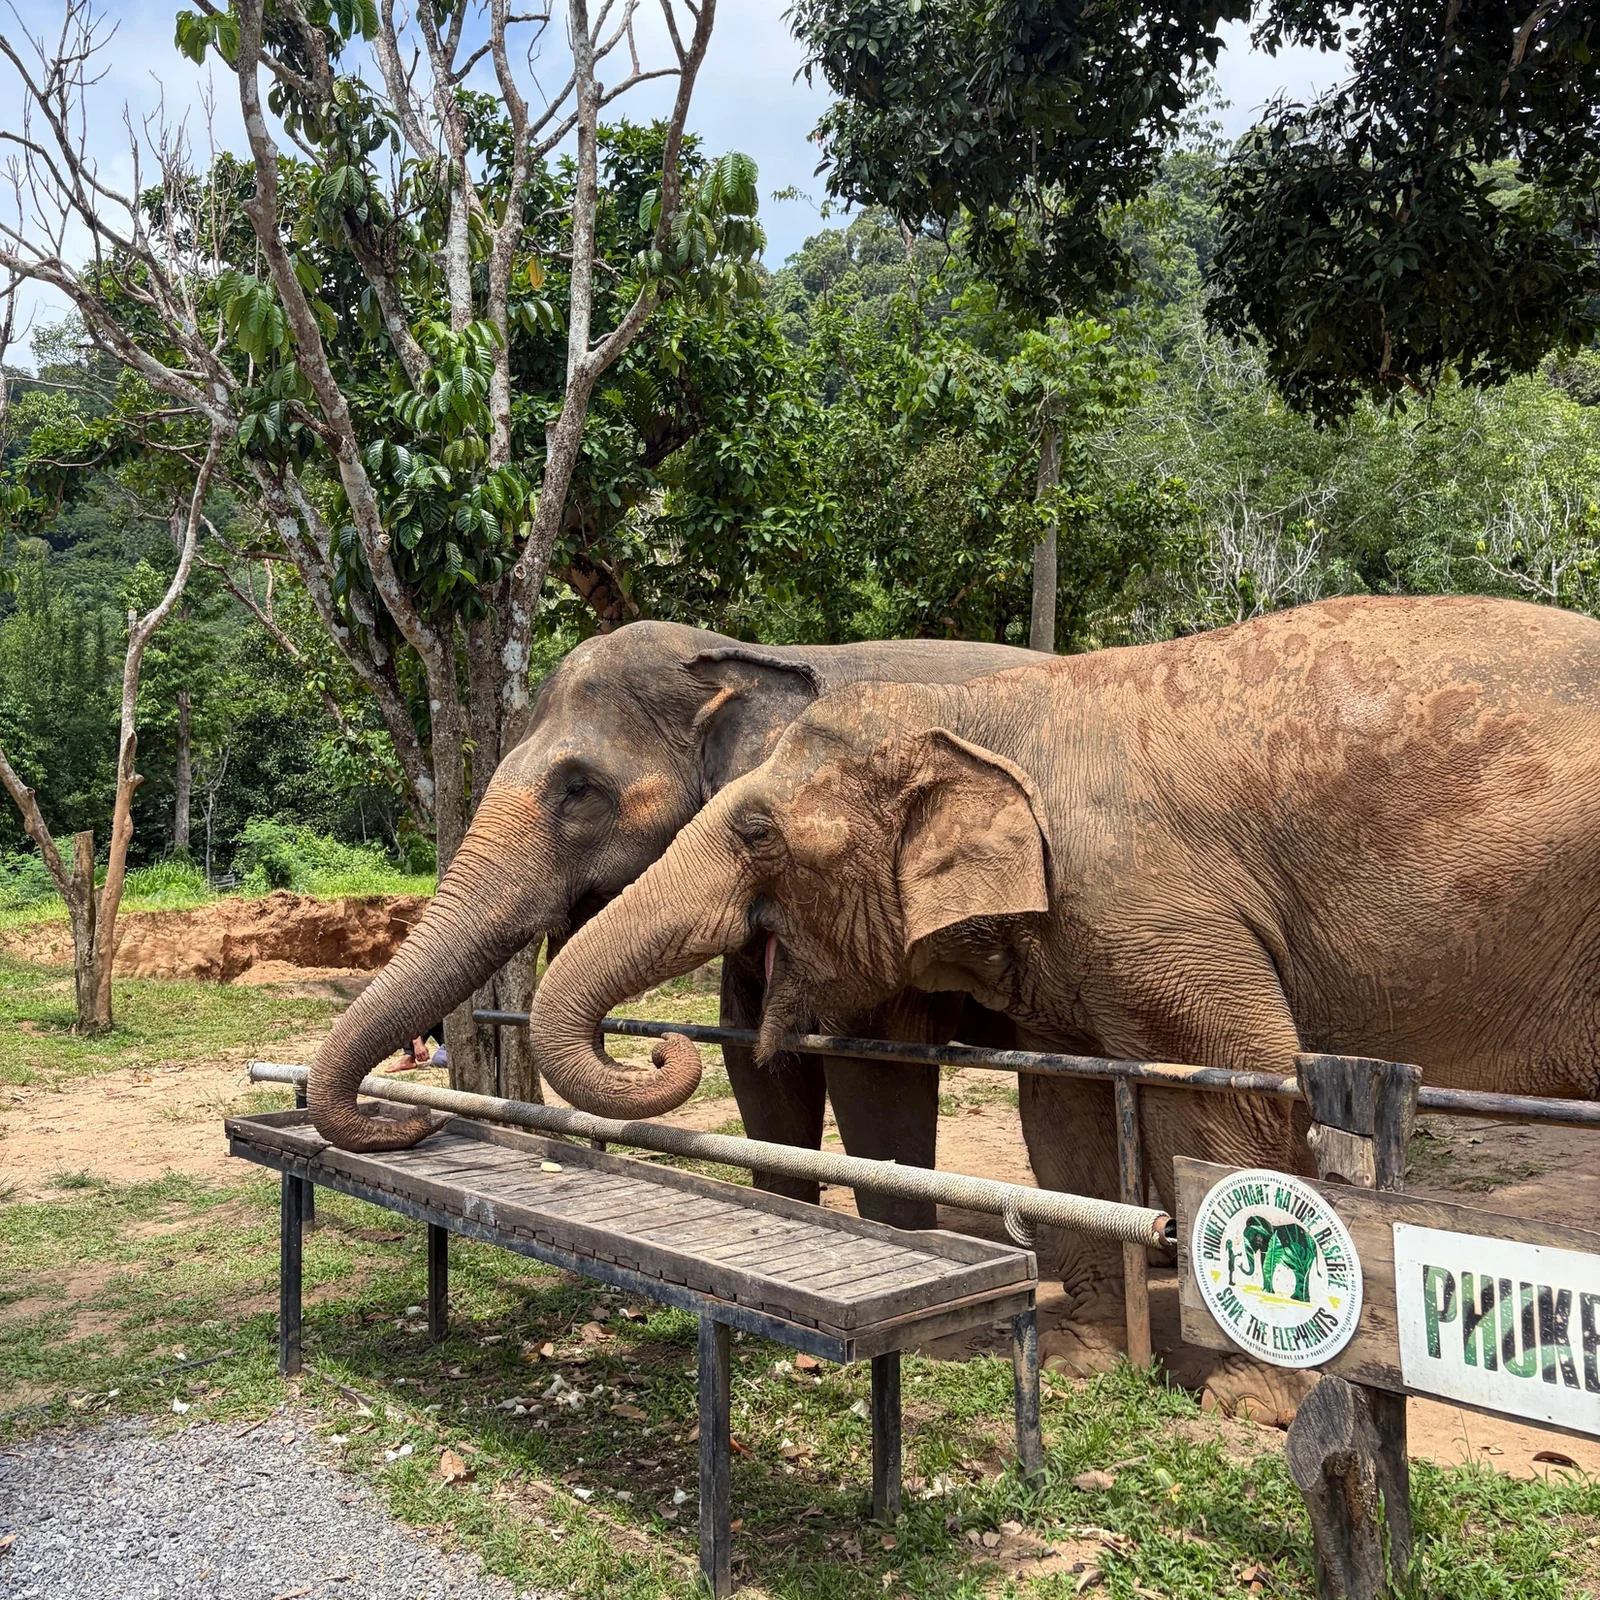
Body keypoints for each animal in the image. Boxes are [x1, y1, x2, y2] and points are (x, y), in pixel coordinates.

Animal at [526, 594, 1600, 1328]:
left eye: (757, 834)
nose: (660, 1047)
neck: (982, 710)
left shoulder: (1146, 899)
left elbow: (1236, 1078)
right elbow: (1063, 1098)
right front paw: (1088, 1349)